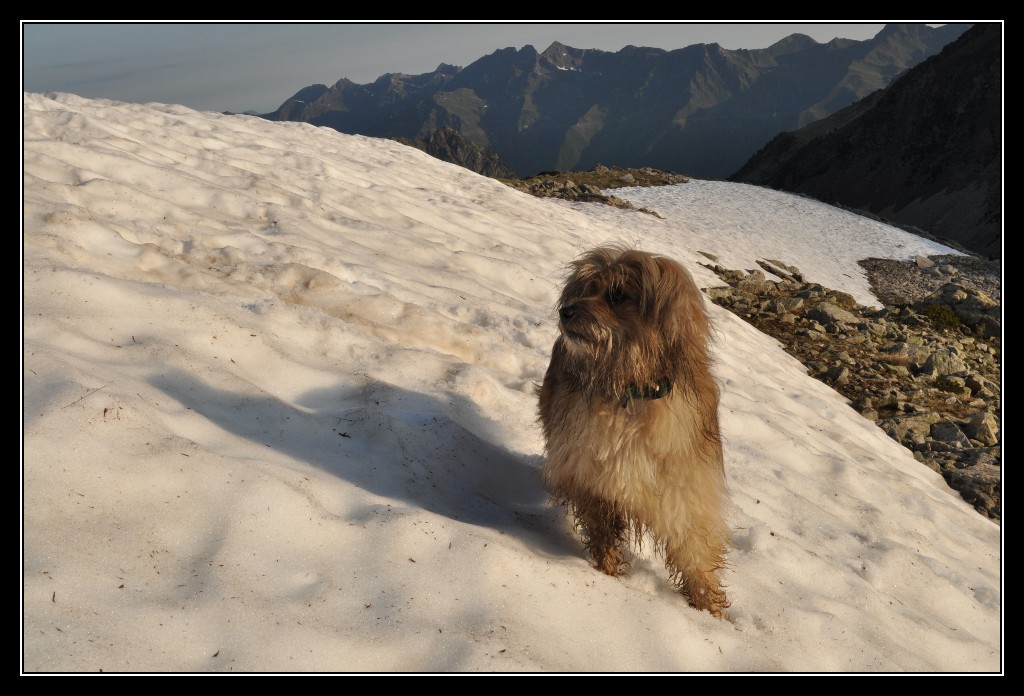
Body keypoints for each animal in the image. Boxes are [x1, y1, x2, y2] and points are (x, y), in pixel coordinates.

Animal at [536, 247, 729, 618]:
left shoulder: (685, 492)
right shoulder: (591, 475)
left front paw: (709, 610)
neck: (631, 392)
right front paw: (609, 571)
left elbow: (695, 555)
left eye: (617, 295)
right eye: (586, 288)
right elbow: (602, 530)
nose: (565, 311)